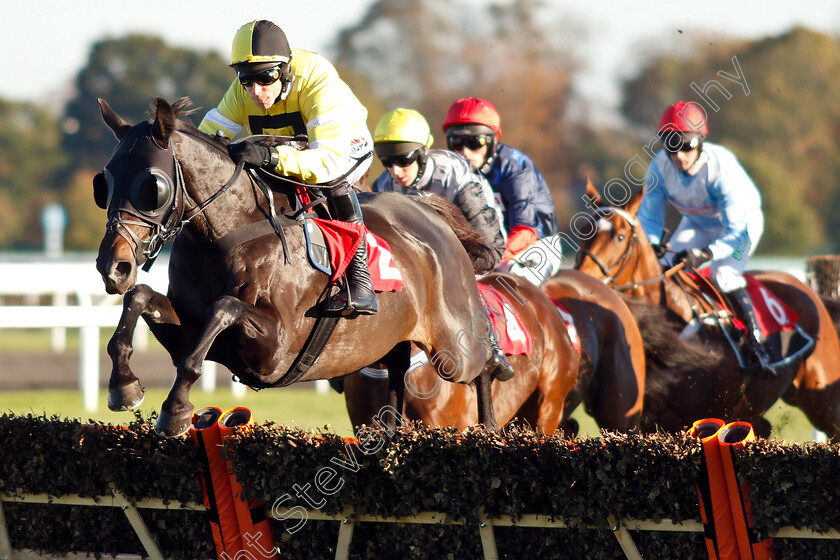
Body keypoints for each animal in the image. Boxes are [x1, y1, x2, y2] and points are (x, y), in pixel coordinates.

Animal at [95, 97, 508, 438]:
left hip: (452, 348)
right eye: (105, 181)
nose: (113, 267)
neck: (228, 233)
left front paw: (175, 409)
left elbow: (223, 309)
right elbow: (140, 297)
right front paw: (123, 385)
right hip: (389, 340)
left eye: (152, 187)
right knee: (397, 367)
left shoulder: (275, 349)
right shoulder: (193, 331)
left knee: (482, 366)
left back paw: (490, 429)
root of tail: (431, 213)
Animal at [576, 184, 840, 438]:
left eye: (620, 236)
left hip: (822, 397)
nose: (586, 282)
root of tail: (812, 293)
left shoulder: (692, 417)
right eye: (583, 231)